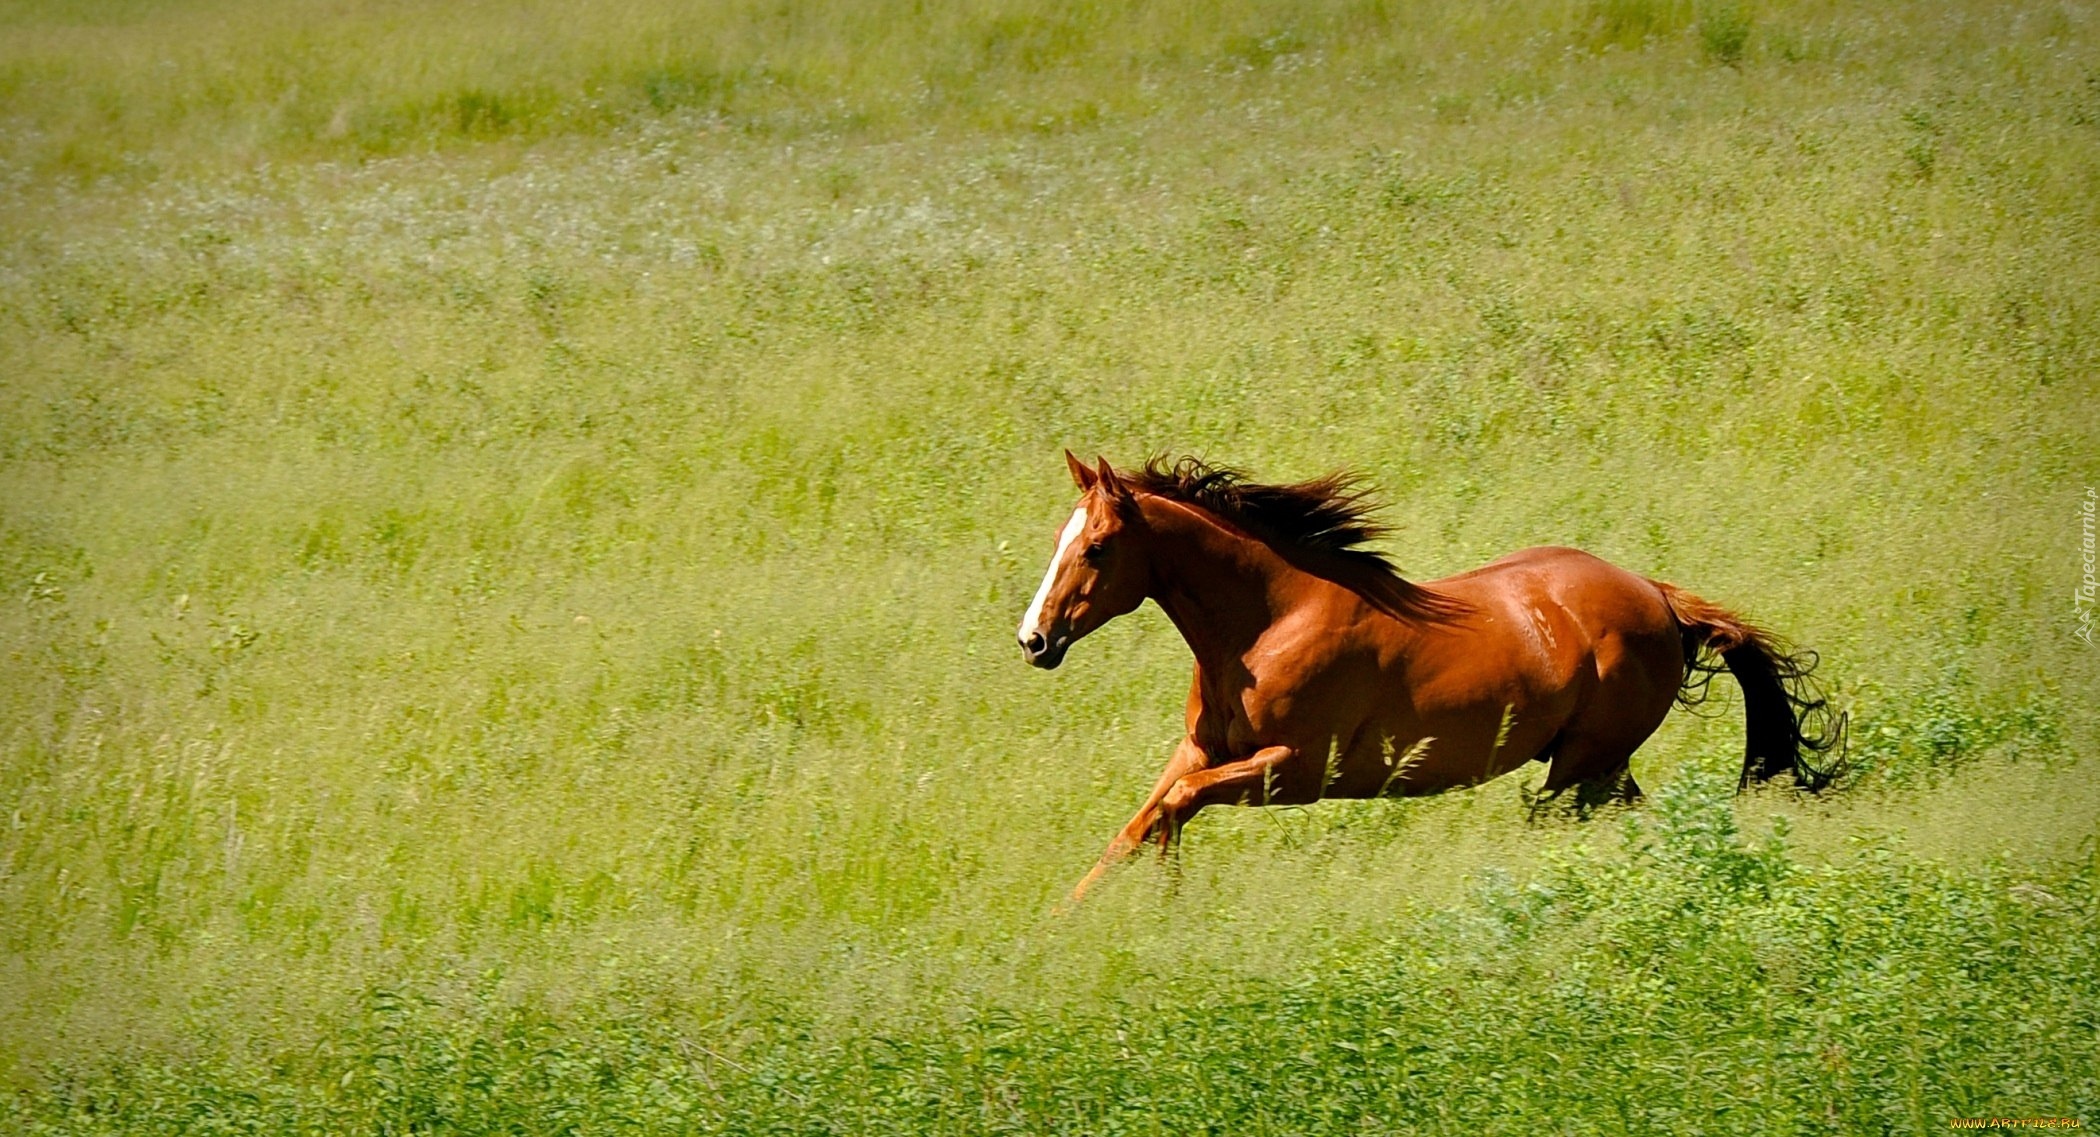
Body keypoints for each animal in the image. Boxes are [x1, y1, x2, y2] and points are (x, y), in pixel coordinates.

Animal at [1016, 447, 1839, 899]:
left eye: (1095, 548)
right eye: (1060, 539)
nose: (1033, 639)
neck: (1269, 623)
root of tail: (1658, 597)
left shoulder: (1295, 769)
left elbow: (1175, 810)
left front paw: (1168, 897)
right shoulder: (1202, 751)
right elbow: (1135, 824)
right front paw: (1063, 921)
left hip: (1581, 765)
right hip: (1598, 765)